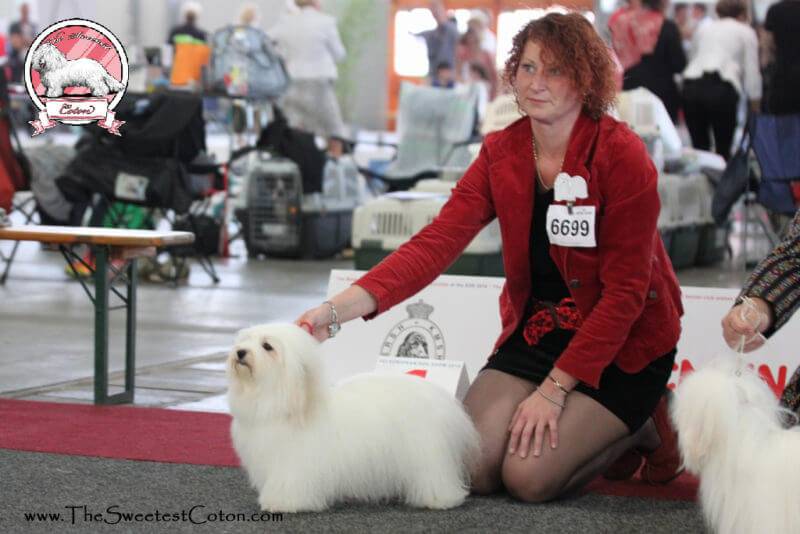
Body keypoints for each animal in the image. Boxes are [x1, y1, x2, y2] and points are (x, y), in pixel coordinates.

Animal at [225, 322, 482, 516]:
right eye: (246, 340)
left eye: (267, 346)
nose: (240, 352)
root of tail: (443, 398)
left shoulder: (293, 464)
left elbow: (289, 483)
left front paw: (282, 503)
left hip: (427, 453)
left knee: (436, 477)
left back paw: (440, 499)